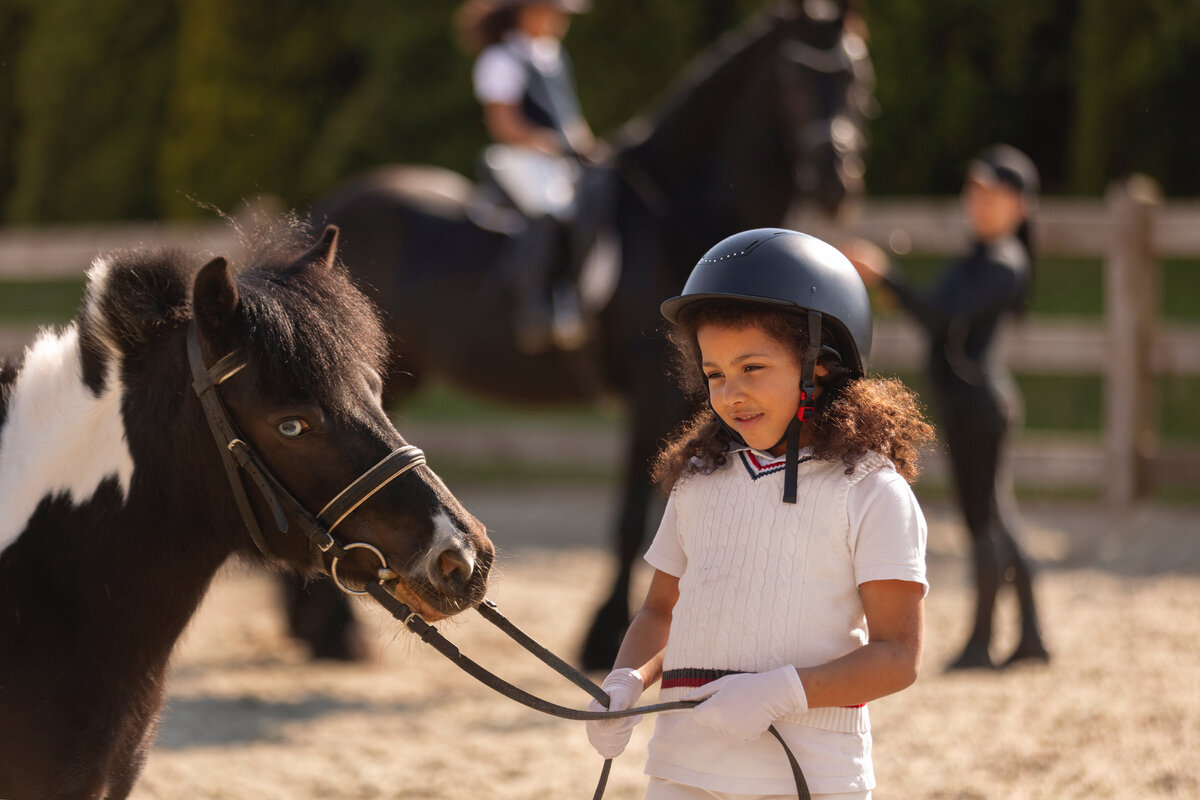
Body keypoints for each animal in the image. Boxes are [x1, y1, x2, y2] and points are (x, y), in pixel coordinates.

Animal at [312, 1, 873, 671]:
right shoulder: (653, 398)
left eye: (858, 76)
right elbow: (633, 522)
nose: (838, 179)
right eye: (793, 77)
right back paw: (330, 636)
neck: (678, 212)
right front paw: (604, 636)